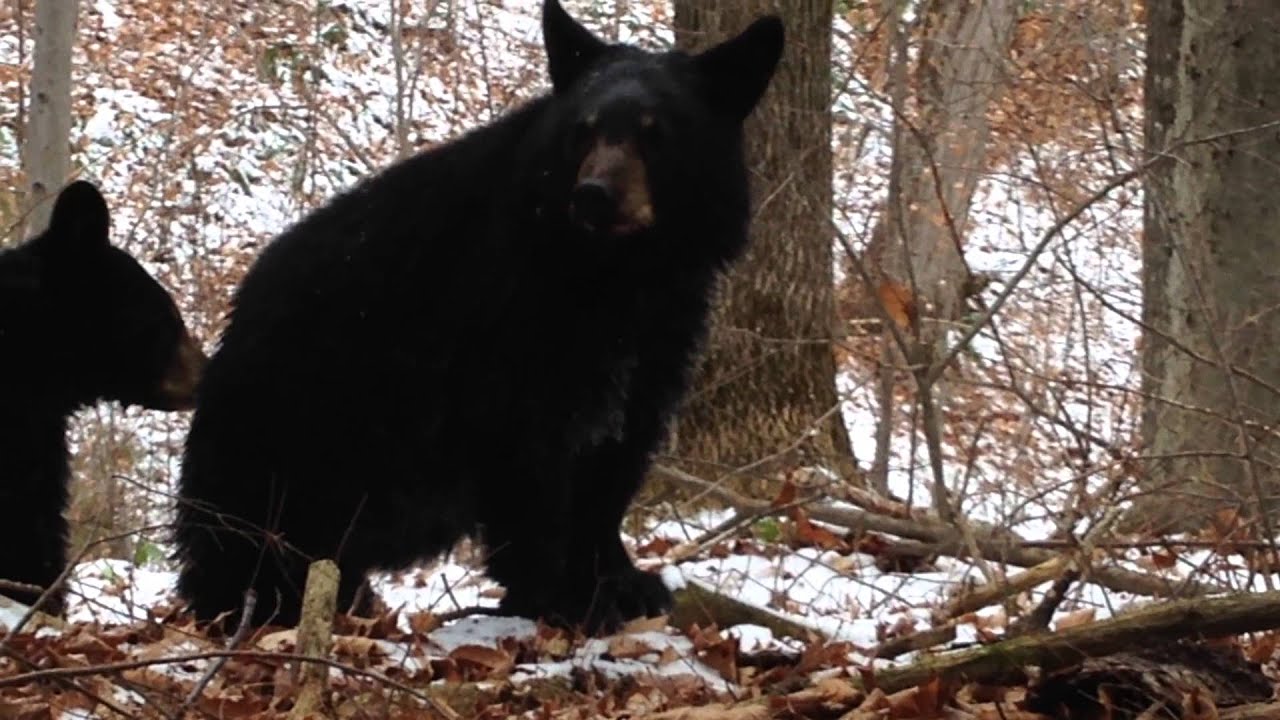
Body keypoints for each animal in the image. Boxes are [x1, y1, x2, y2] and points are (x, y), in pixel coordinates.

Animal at [174, 0, 784, 634]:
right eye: (584, 129)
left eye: (655, 132)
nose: (593, 194)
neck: (611, 269)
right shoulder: (507, 326)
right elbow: (531, 459)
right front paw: (559, 594)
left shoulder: (656, 334)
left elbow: (616, 457)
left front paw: (620, 581)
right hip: (296, 433)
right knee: (246, 536)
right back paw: (262, 603)